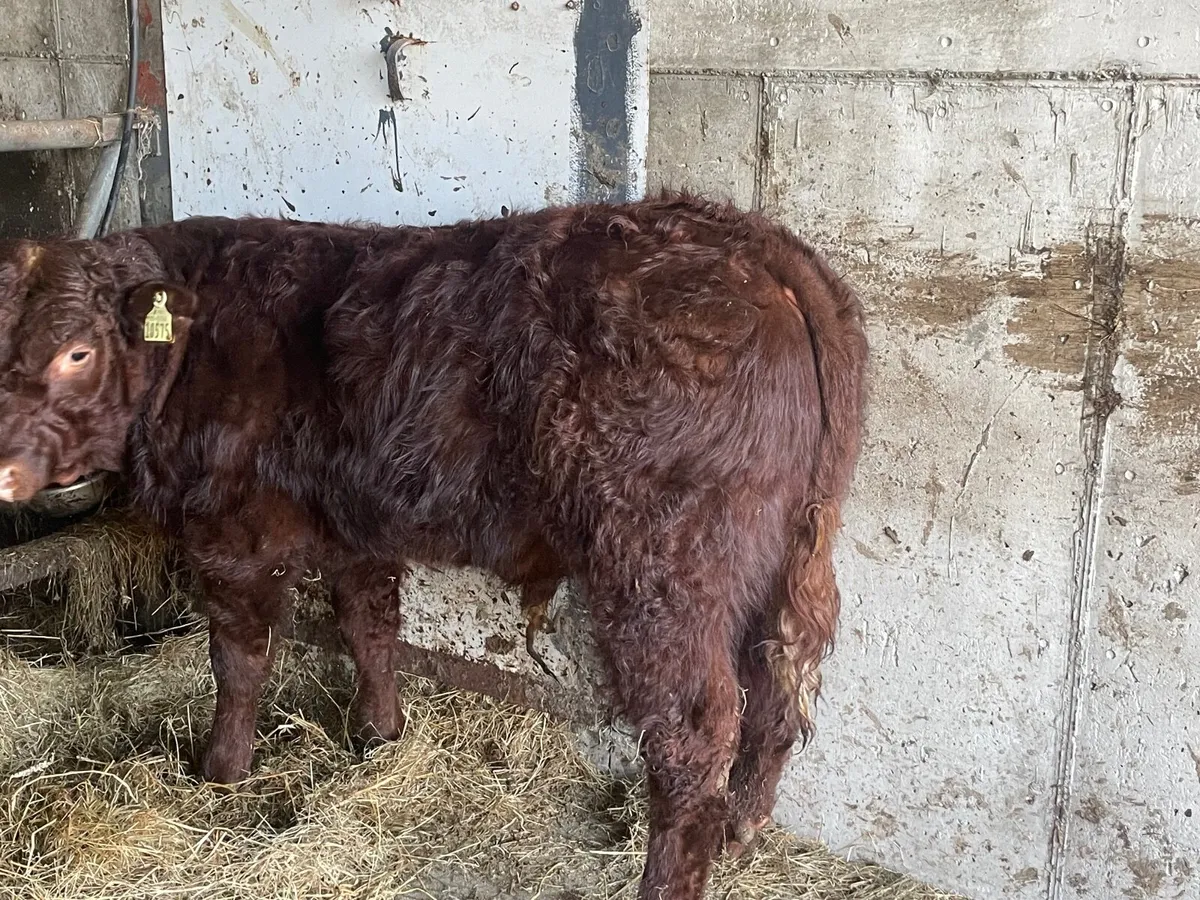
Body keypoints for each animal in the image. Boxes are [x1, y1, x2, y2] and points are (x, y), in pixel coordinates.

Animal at [0, 193, 866, 900]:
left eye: (77, 352)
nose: (2, 465)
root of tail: (748, 239)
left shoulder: (232, 534)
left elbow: (239, 661)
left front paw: (221, 772)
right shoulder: (353, 523)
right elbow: (369, 625)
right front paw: (379, 734)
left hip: (663, 565)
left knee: (697, 731)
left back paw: (671, 878)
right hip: (788, 553)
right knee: (777, 684)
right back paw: (743, 831)